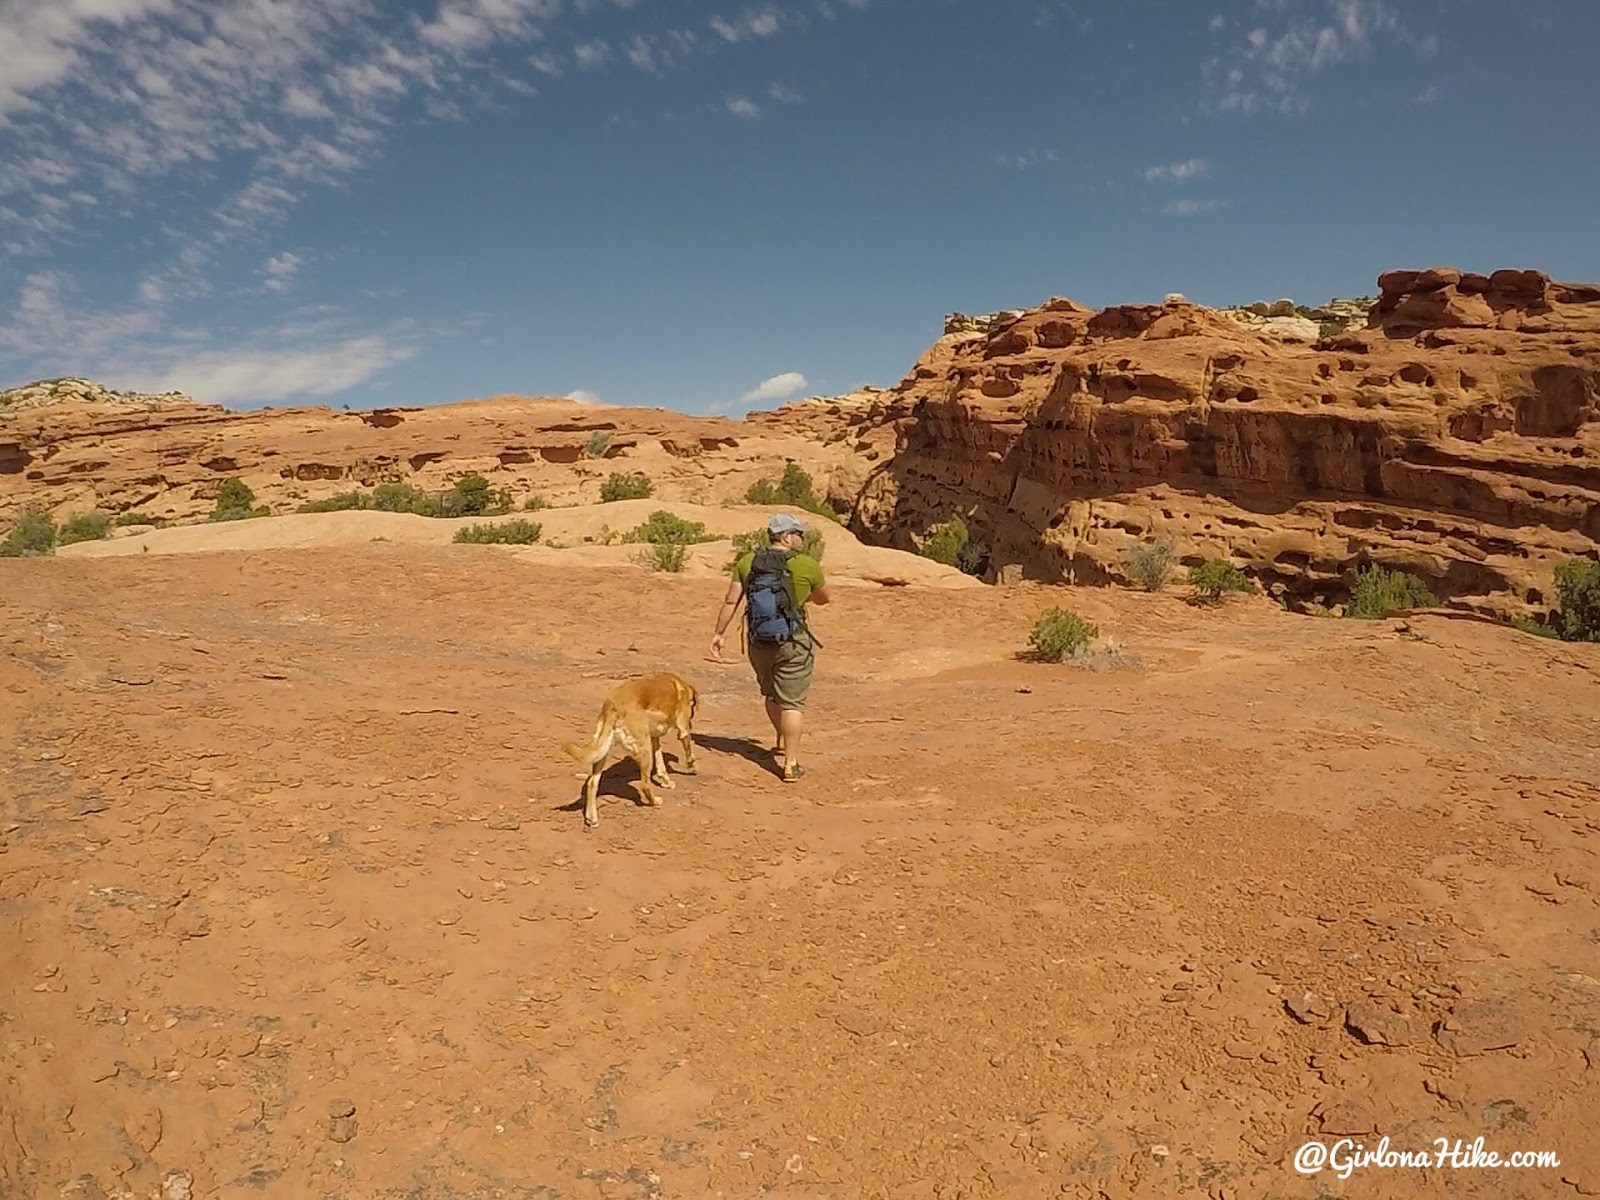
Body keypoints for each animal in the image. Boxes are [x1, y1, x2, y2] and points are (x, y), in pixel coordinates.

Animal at [563, 672, 700, 832]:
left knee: (592, 783)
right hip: (644, 750)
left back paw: (592, 818)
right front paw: (692, 768)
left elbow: (660, 763)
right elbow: (689, 752)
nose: (692, 723)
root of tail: (613, 705)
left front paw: (665, 780)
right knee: (645, 785)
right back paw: (654, 801)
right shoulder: (683, 730)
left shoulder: (654, 738)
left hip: (604, 750)